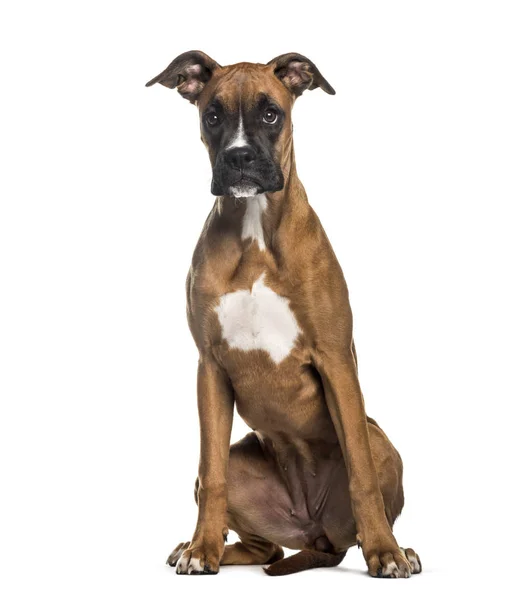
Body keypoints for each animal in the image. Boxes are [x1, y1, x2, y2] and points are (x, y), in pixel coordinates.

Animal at [145, 50, 420, 576]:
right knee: (262, 545)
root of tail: (313, 530)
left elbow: (361, 474)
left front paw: (385, 553)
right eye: (212, 116)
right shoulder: (210, 367)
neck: (255, 229)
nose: (238, 157)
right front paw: (201, 549)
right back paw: (200, 547)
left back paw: (401, 548)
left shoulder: (335, 361)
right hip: (243, 467)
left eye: (271, 113)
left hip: (382, 443)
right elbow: (211, 473)